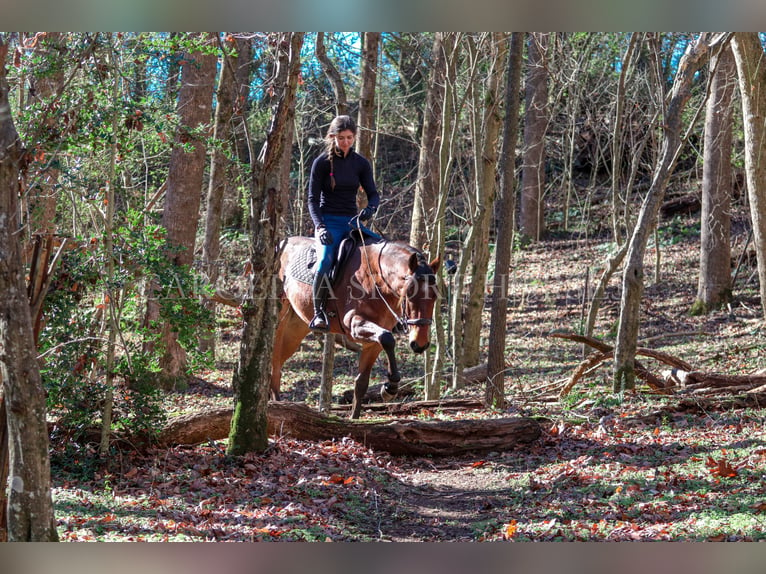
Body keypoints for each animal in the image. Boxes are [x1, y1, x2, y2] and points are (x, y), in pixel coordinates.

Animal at [272, 233, 440, 418]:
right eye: (409, 293)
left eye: (434, 296)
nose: (420, 344)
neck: (376, 280)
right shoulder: (354, 324)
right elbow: (387, 338)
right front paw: (390, 387)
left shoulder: (373, 343)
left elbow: (361, 383)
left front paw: (359, 413)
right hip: (279, 322)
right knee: (272, 365)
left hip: (295, 330)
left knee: (277, 365)